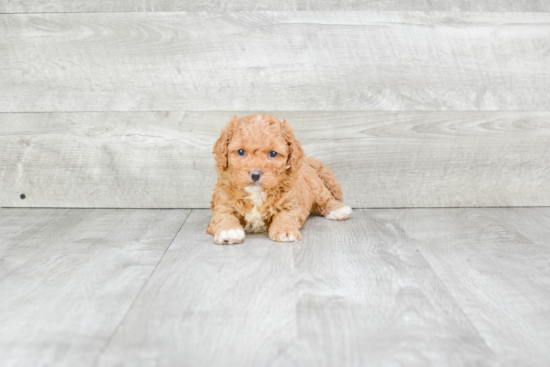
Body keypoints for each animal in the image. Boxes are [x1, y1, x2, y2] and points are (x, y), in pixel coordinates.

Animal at [207, 112, 354, 244]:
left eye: (273, 153)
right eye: (241, 151)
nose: (255, 174)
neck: (256, 193)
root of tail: (306, 161)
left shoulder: (290, 203)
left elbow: (285, 216)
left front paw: (285, 231)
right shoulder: (223, 203)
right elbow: (223, 217)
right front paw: (229, 231)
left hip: (315, 185)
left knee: (325, 198)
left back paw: (338, 210)